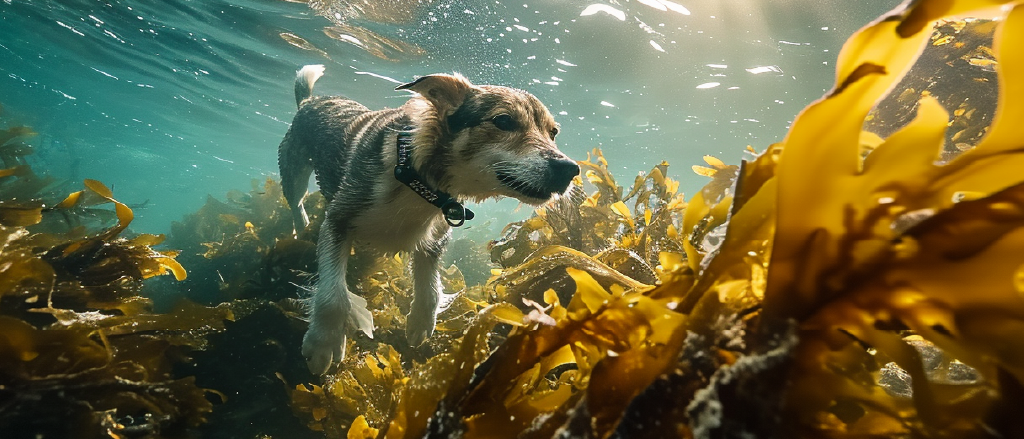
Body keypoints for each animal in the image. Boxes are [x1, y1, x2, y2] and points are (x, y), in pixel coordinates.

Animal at [280, 64, 581, 372]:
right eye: (504, 121)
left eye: (553, 132)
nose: (570, 169)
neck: (418, 181)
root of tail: (309, 101)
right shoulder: (338, 219)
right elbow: (333, 294)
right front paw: (323, 344)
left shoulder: (437, 235)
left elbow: (431, 286)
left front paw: (421, 324)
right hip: (294, 170)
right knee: (296, 200)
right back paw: (301, 227)